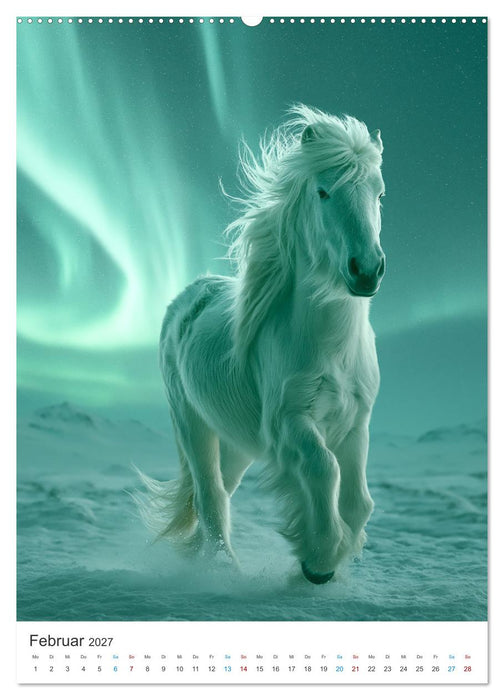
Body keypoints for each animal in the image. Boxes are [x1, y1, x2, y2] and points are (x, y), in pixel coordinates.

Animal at [136, 104, 386, 584]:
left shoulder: (356, 423)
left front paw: (329, 558)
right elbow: (323, 470)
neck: (333, 348)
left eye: (379, 193)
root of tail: (185, 299)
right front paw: (318, 560)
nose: (366, 270)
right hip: (192, 423)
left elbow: (359, 501)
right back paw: (222, 570)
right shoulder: (290, 423)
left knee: (219, 492)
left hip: (236, 441)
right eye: (324, 191)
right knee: (210, 494)